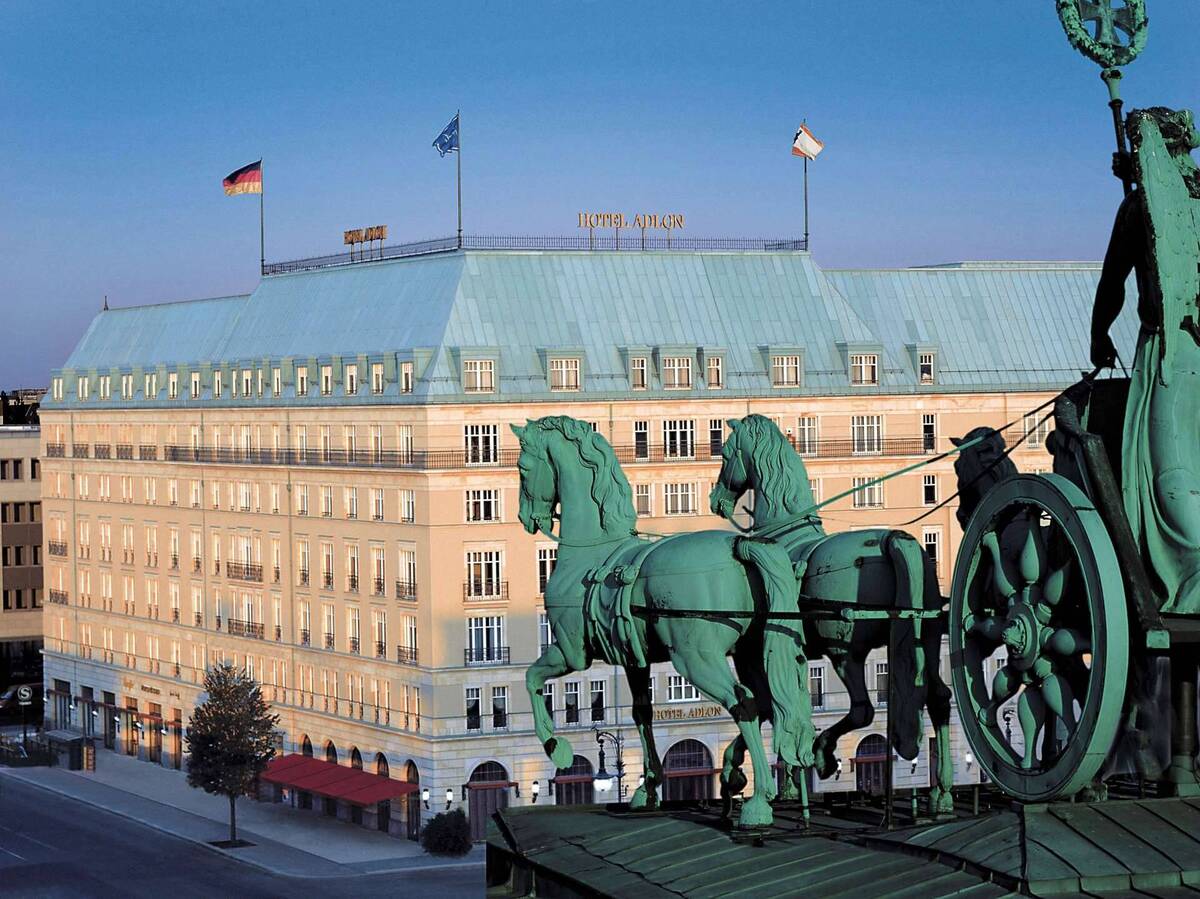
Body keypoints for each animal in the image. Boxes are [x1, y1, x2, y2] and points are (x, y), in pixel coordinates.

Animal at [511, 415, 811, 825]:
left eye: (523, 468)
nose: (527, 519)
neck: (592, 554)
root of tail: (738, 546)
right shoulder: (633, 661)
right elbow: (642, 714)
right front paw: (647, 786)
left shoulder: (572, 653)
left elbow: (531, 678)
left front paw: (556, 747)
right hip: (749, 651)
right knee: (767, 702)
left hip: (696, 658)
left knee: (744, 703)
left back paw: (758, 800)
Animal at [710, 412, 955, 811]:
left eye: (727, 452)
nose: (716, 500)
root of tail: (894, 539)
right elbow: (774, 707)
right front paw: (788, 782)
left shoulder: (755, 654)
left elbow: (764, 706)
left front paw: (737, 771)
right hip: (927, 642)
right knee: (937, 698)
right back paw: (942, 791)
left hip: (844, 652)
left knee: (863, 710)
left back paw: (823, 752)